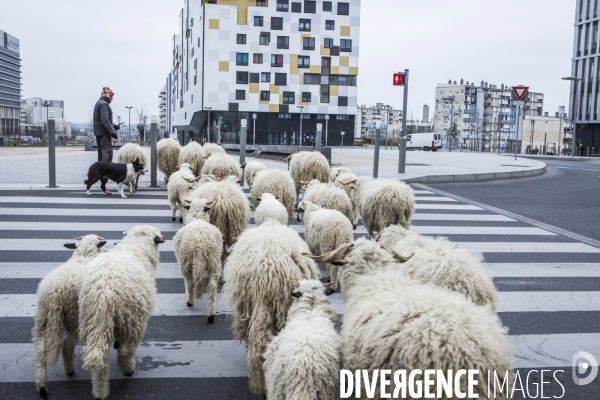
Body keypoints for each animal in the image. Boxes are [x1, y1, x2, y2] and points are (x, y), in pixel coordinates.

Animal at [32, 234, 106, 400]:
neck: (84, 255)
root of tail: (55, 295)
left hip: (41, 318)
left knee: (40, 351)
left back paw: (42, 388)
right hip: (74, 317)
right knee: (67, 345)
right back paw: (69, 370)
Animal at [79, 227, 166, 398]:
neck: (135, 247)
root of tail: (104, 294)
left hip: (90, 321)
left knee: (96, 355)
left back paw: (99, 391)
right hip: (132, 320)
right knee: (126, 351)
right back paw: (128, 370)